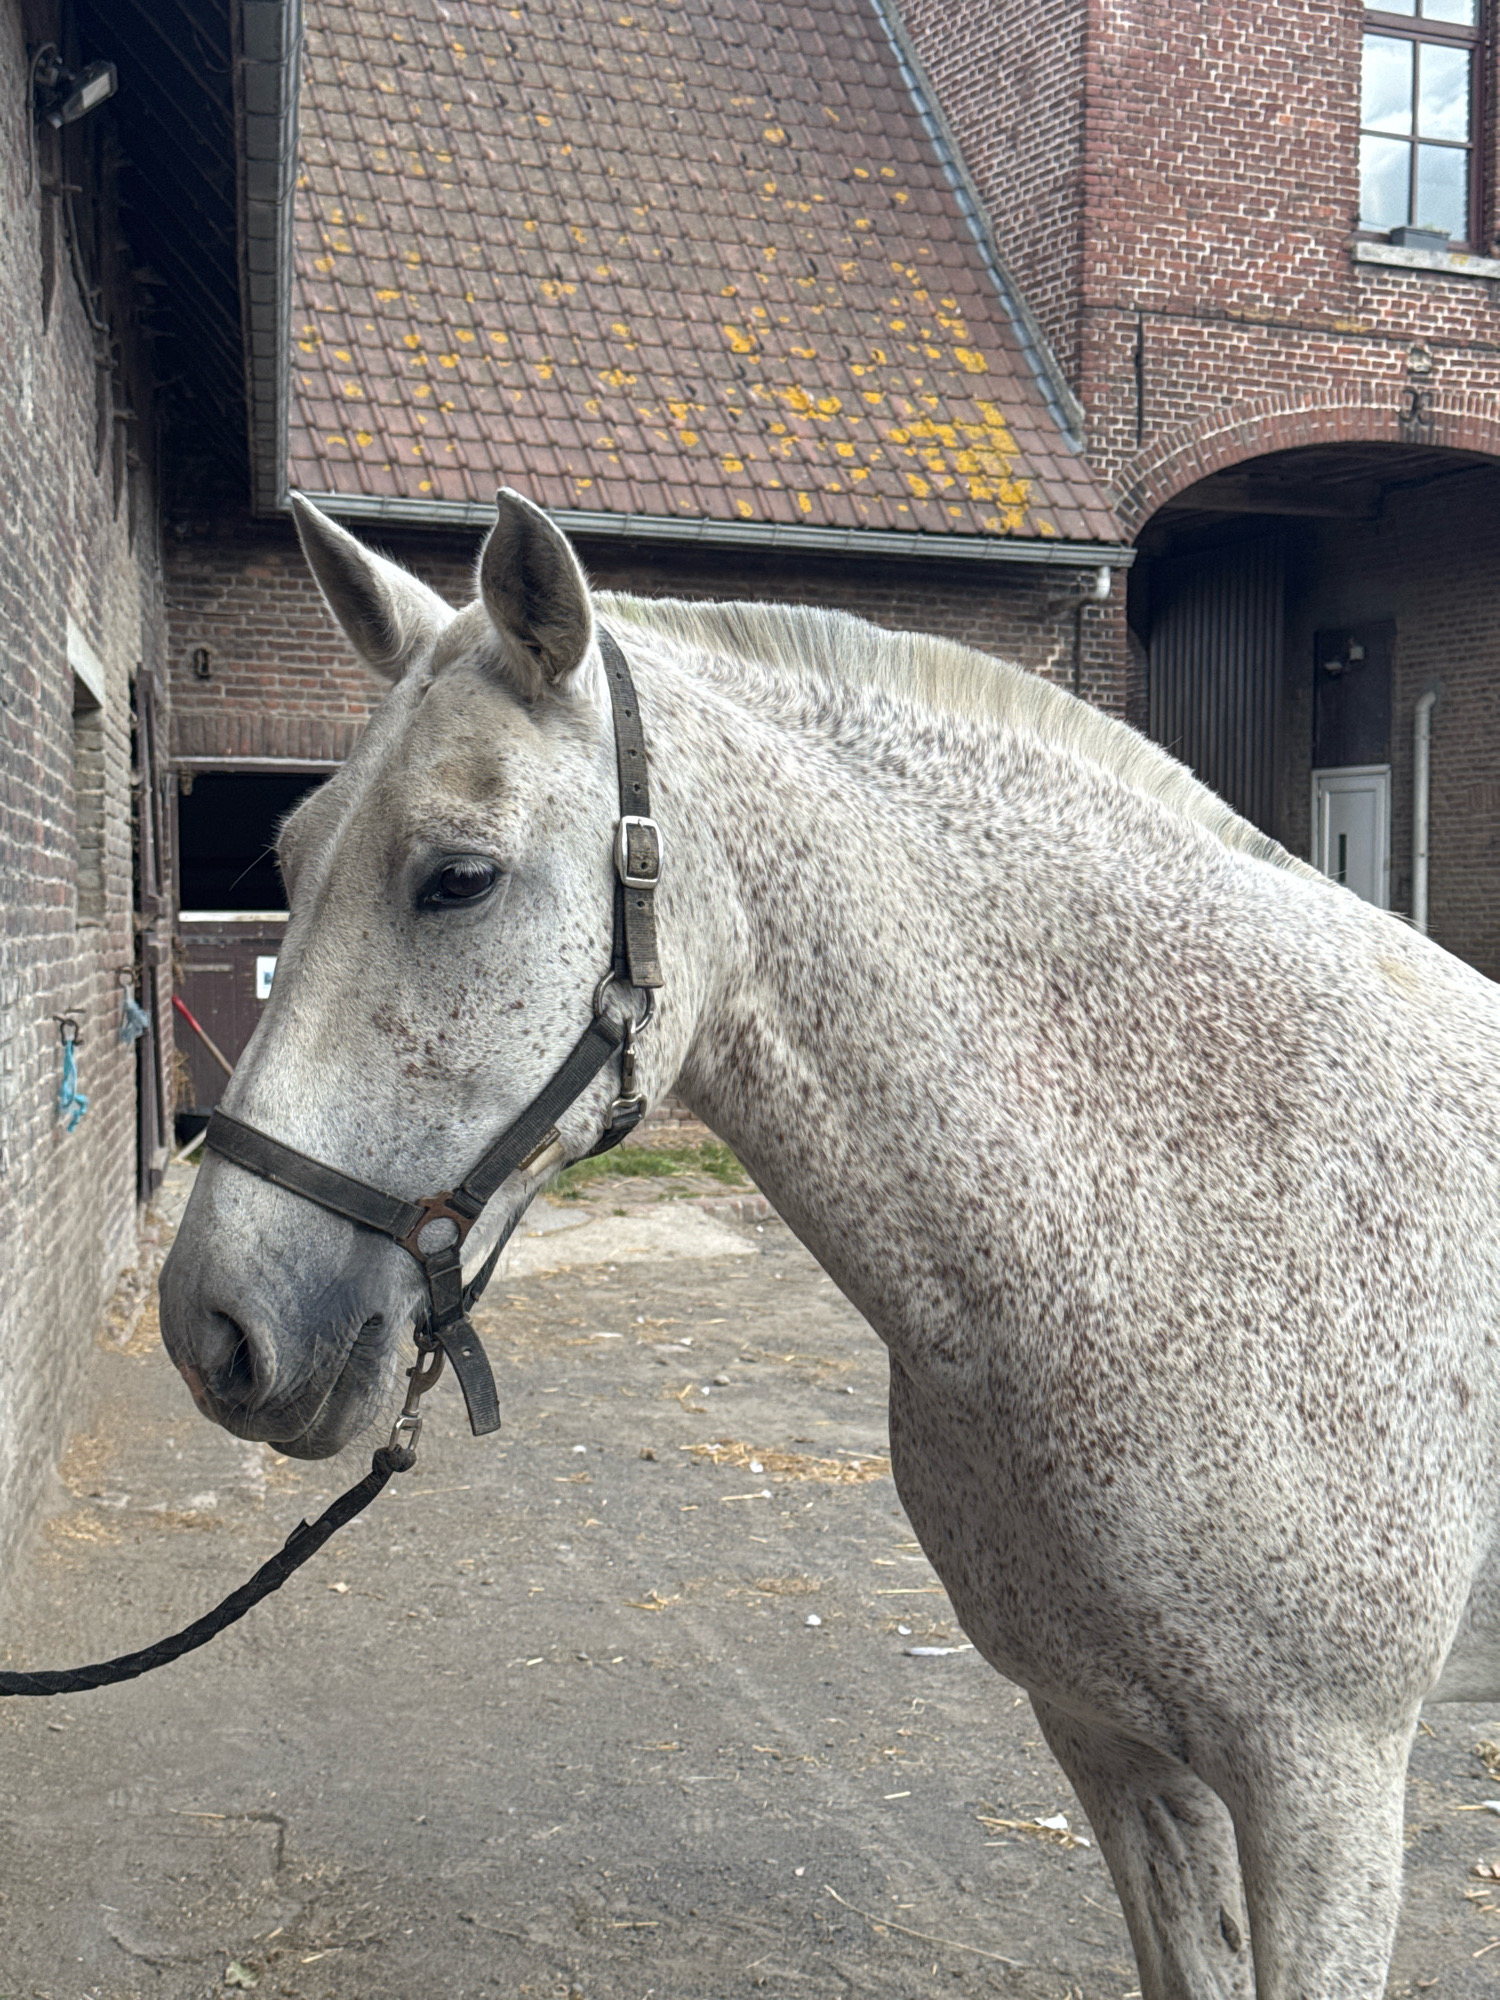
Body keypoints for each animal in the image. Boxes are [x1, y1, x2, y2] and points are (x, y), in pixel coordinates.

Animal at [160, 489, 1500, 1998]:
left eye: (458, 878)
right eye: (286, 858)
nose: (215, 1325)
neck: (1199, 1211)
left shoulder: (1327, 1791)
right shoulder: (1107, 1739)